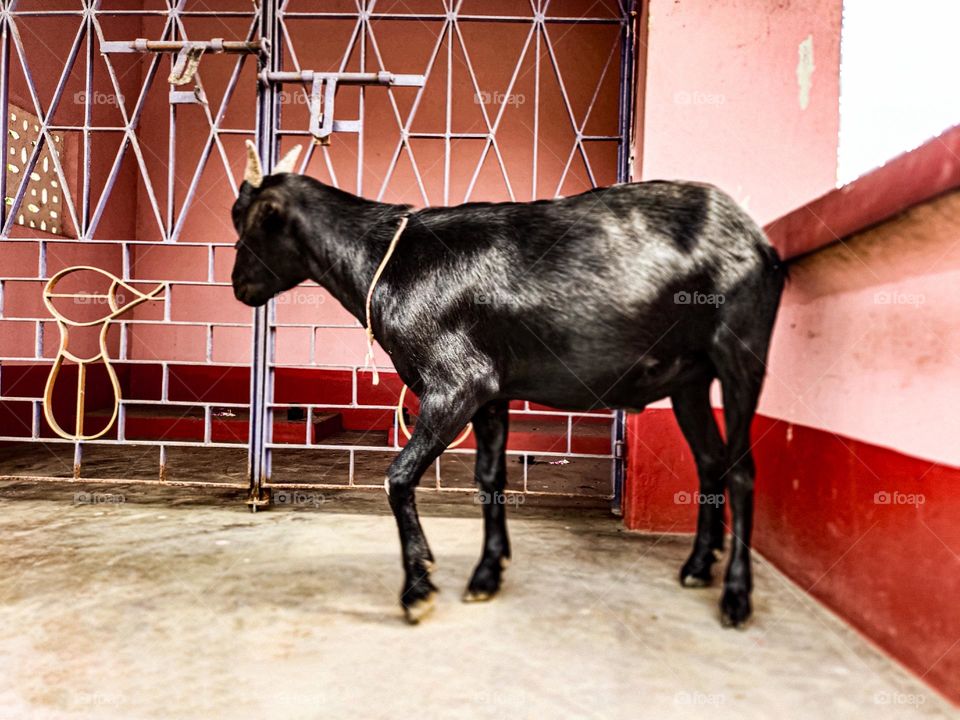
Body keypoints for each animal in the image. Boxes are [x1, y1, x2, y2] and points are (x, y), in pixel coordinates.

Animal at [231, 142, 785, 627]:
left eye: (248, 223)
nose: (239, 287)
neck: (386, 262)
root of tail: (757, 240)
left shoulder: (456, 384)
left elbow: (398, 477)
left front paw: (418, 589)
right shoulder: (492, 393)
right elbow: (489, 477)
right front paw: (486, 574)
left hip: (740, 350)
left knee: (742, 468)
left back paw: (736, 597)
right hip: (689, 378)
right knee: (711, 459)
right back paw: (698, 566)